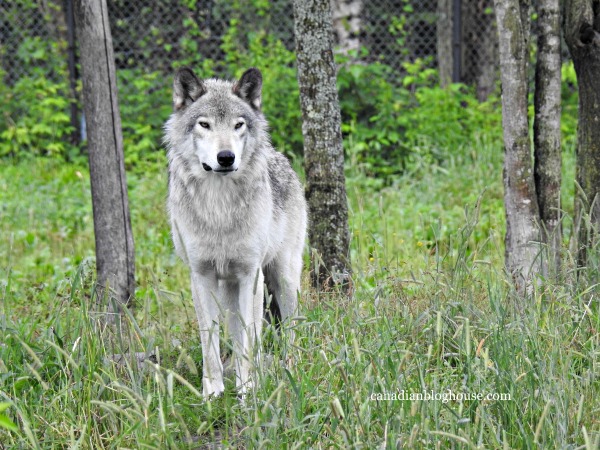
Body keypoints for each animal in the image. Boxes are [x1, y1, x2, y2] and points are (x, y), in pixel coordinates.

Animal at [164, 67, 308, 398]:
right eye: (204, 124)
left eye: (238, 124)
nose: (226, 157)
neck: (219, 207)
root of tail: (281, 157)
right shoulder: (201, 276)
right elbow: (209, 340)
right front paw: (213, 391)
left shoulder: (250, 275)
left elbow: (251, 337)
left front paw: (248, 390)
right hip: (228, 291)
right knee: (235, 332)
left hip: (282, 280)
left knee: (288, 332)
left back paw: (289, 374)